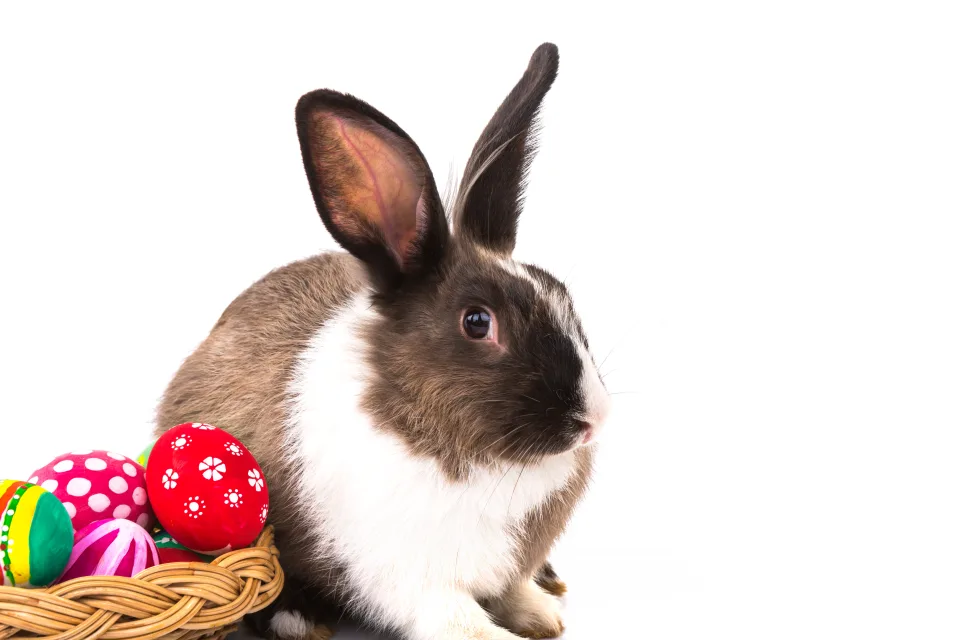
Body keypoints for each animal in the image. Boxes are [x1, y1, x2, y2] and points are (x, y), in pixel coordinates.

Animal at [154, 42, 610, 640]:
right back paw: (297, 620)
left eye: (561, 293)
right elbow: (460, 619)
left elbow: (512, 589)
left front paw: (543, 616)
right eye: (477, 322)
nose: (594, 419)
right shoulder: (412, 579)